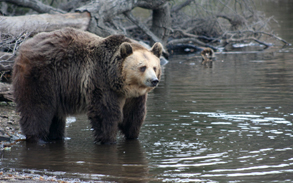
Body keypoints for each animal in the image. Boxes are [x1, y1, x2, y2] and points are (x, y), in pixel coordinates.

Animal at [12, 27, 162, 144]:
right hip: (41, 76)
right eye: (142, 67)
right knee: (37, 107)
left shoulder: (134, 96)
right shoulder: (101, 80)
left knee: (55, 116)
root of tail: (24, 46)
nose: (154, 80)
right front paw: (107, 139)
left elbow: (134, 115)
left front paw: (132, 135)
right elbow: (105, 112)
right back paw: (37, 138)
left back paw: (56, 137)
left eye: (154, 67)